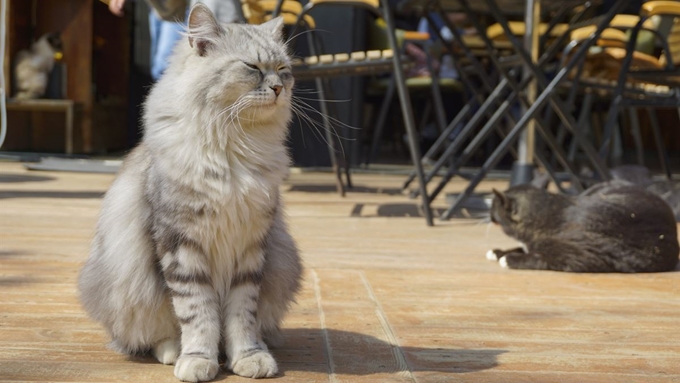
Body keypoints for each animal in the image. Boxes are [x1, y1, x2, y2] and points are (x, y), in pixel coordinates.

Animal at [75, 4, 302, 382]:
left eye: (284, 71)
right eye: (252, 68)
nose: (277, 89)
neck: (233, 147)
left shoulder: (251, 245)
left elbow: (242, 316)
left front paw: (249, 358)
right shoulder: (180, 243)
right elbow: (198, 314)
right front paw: (198, 360)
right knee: (156, 334)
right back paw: (174, 353)